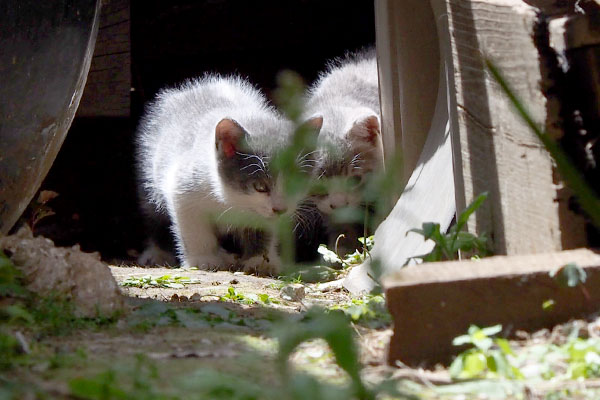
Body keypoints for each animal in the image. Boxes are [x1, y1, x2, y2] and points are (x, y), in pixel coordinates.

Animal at [138, 75, 302, 276]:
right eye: (260, 186)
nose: (280, 209)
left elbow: (262, 228)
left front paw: (261, 260)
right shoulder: (184, 187)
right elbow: (194, 228)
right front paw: (203, 259)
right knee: (154, 214)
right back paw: (157, 253)